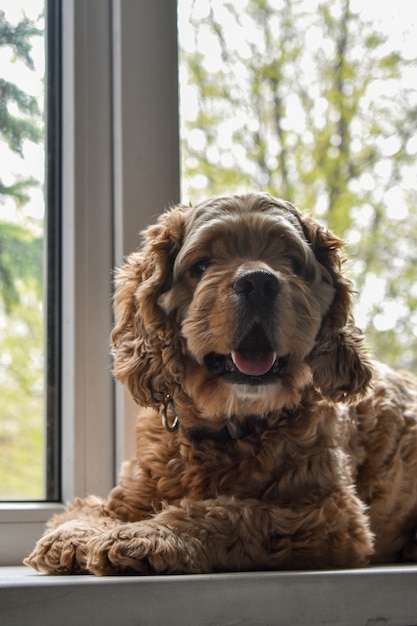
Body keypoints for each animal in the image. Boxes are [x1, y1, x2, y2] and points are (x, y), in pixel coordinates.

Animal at [24, 193, 416, 572]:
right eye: (201, 265)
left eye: (291, 261)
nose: (259, 281)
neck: (230, 425)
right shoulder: (133, 491)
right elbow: (89, 507)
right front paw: (75, 533)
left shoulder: (327, 514)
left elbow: (228, 512)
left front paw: (149, 535)